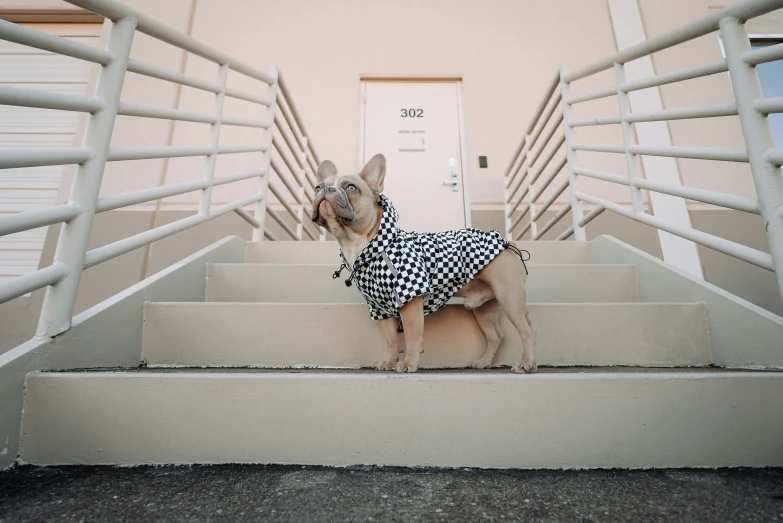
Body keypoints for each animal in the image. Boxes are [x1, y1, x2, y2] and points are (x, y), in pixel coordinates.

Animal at [310, 154, 536, 374]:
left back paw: (526, 363)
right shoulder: (379, 308)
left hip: (509, 296)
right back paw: (484, 362)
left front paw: (408, 363)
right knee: (496, 335)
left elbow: (411, 336)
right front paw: (389, 362)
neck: (361, 244)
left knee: (526, 329)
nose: (327, 190)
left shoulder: (409, 300)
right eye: (317, 187)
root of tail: (507, 243)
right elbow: (391, 339)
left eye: (351, 187)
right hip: (483, 309)